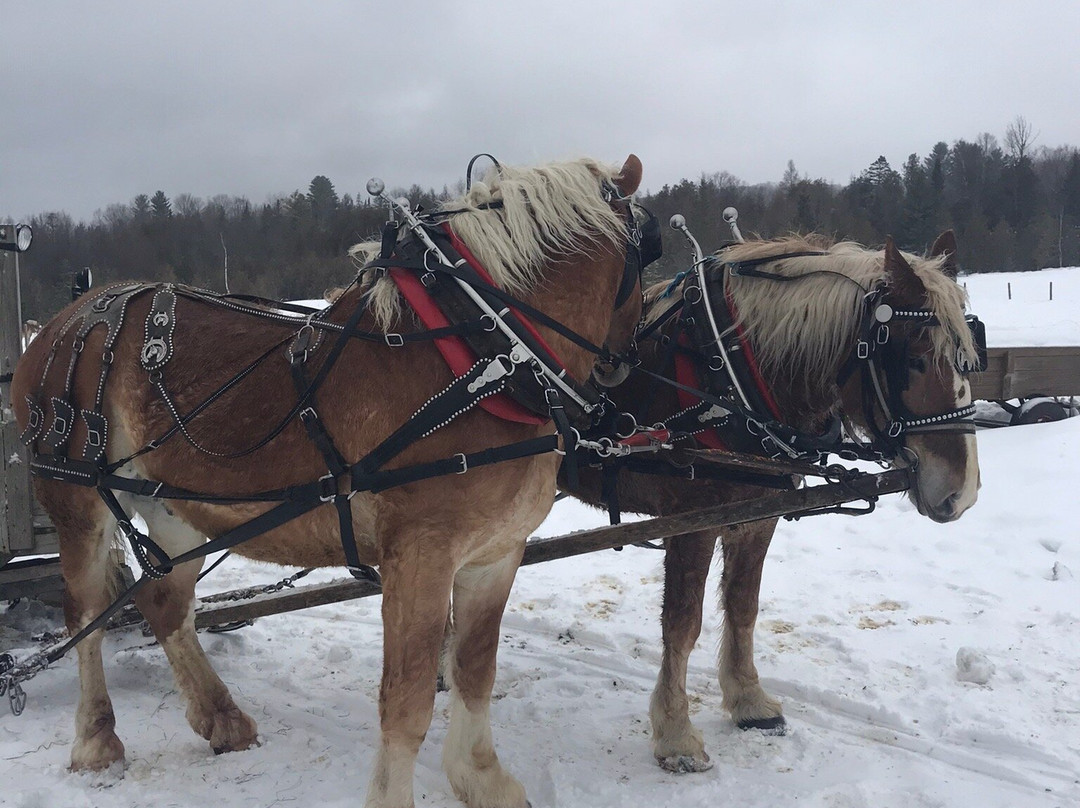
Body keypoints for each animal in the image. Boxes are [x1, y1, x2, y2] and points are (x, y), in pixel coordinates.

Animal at [10, 154, 639, 803]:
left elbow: (474, 672)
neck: (487, 356)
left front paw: (482, 777)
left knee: (164, 603)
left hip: (175, 507)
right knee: (85, 615)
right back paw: (95, 740)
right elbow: (407, 701)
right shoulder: (420, 556)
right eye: (650, 258)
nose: (624, 374)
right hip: (78, 504)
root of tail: (65, 320)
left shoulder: (496, 555)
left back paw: (220, 718)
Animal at [570, 226, 984, 769]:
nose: (962, 493)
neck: (726, 375)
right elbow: (682, 623)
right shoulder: (691, 521)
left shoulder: (756, 517)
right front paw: (676, 733)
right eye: (913, 360)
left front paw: (748, 700)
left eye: (969, 358)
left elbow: (744, 605)